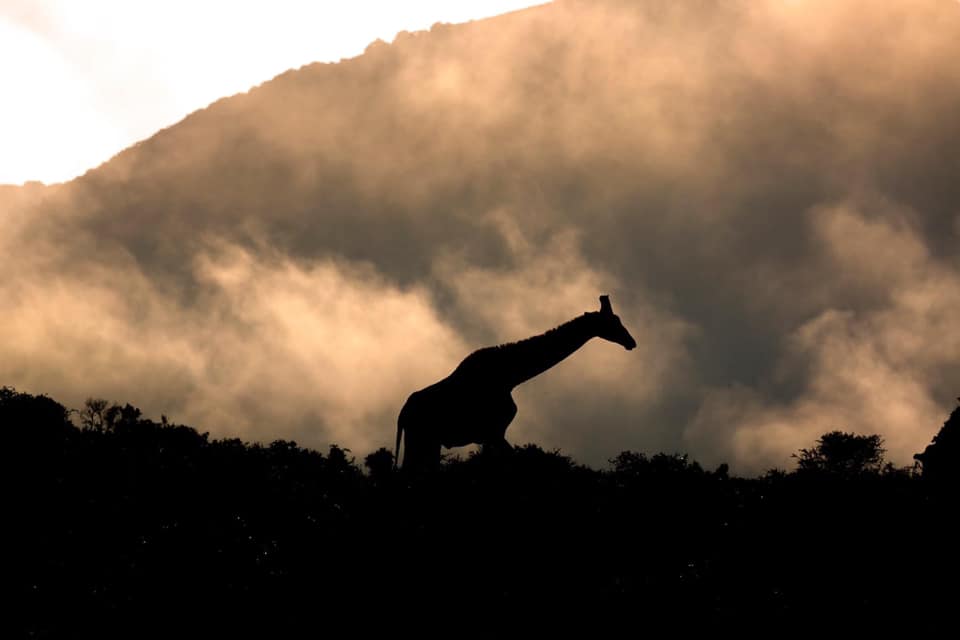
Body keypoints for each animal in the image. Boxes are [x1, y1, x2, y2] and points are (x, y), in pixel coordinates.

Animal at [394, 296, 632, 470]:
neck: (511, 377)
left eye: (619, 319)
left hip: (427, 441)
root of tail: (402, 415)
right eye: (613, 322)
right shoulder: (494, 431)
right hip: (422, 438)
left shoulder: (491, 435)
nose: (631, 342)